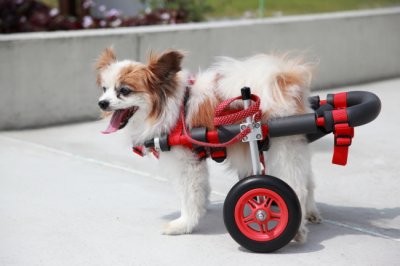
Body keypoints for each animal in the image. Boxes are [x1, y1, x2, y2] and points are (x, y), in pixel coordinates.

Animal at [95, 47, 320, 243]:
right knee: (308, 181)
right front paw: (202, 208)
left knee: (297, 188)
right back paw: (311, 213)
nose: (102, 103)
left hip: (281, 151)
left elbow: (188, 196)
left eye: (124, 91)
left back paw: (296, 230)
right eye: (105, 89)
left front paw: (184, 224)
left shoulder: (185, 163)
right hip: (294, 148)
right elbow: (200, 191)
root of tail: (284, 79)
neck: (168, 108)